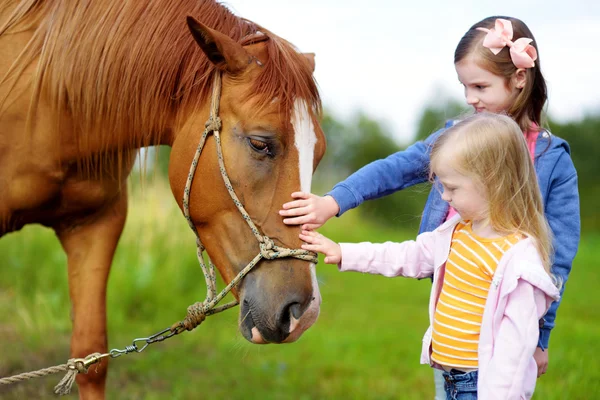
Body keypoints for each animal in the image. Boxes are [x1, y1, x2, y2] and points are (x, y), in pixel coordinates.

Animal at [0, 0, 326, 396]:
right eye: (260, 144)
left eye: (320, 155)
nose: (303, 313)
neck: (53, 96)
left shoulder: (95, 225)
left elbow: (90, 360)